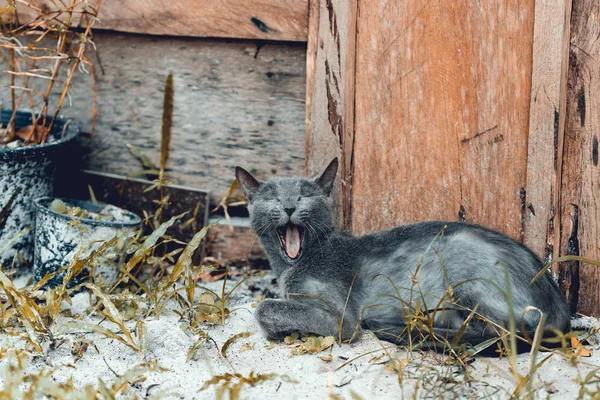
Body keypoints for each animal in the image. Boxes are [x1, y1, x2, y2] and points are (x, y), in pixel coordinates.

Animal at [233, 158, 568, 352]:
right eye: (274, 199)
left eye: (304, 196)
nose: (290, 206)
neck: (293, 265)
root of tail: (559, 306)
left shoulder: (340, 318)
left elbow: (264, 308)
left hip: (465, 270)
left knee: (502, 333)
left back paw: (408, 331)